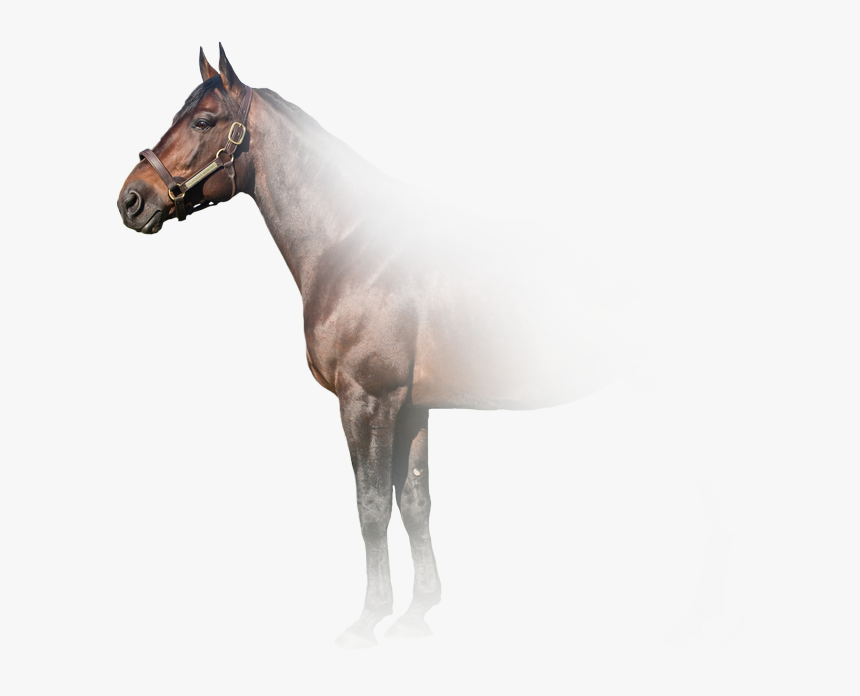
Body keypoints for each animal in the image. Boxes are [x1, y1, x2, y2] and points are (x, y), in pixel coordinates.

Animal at [117, 44, 621, 647]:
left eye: (203, 121)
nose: (131, 199)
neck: (356, 246)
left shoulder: (368, 400)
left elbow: (372, 507)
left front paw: (368, 619)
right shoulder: (413, 407)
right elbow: (415, 502)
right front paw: (417, 611)